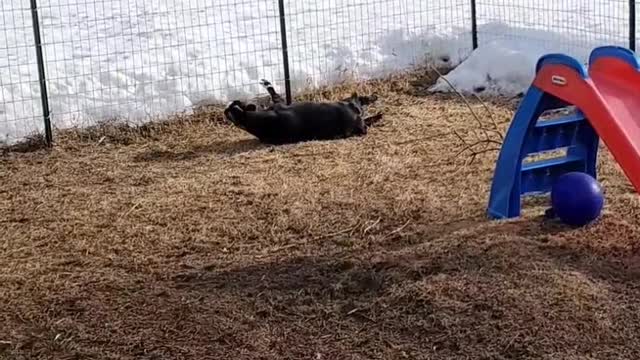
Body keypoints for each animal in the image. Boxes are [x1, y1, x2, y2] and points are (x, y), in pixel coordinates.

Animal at [222, 80, 382, 145]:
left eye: (236, 103)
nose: (226, 107)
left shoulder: (280, 103)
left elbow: (273, 92)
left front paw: (265, 83)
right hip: (355, 117)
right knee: (362, 108)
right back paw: (376, 111)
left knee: (362, 103)